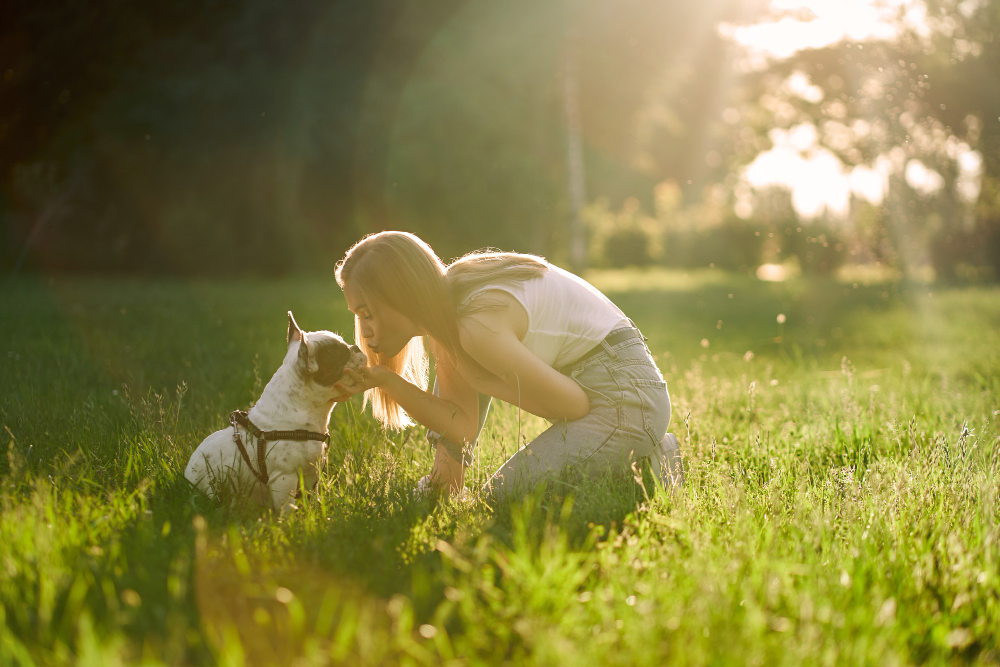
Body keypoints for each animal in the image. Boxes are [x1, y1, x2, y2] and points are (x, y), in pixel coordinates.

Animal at [186, 310, 366, 516]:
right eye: (342, 354)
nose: (356, 347)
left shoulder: (311, 475)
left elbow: (310, 499)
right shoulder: (284, 478)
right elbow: (287, 509)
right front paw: (290, 523)